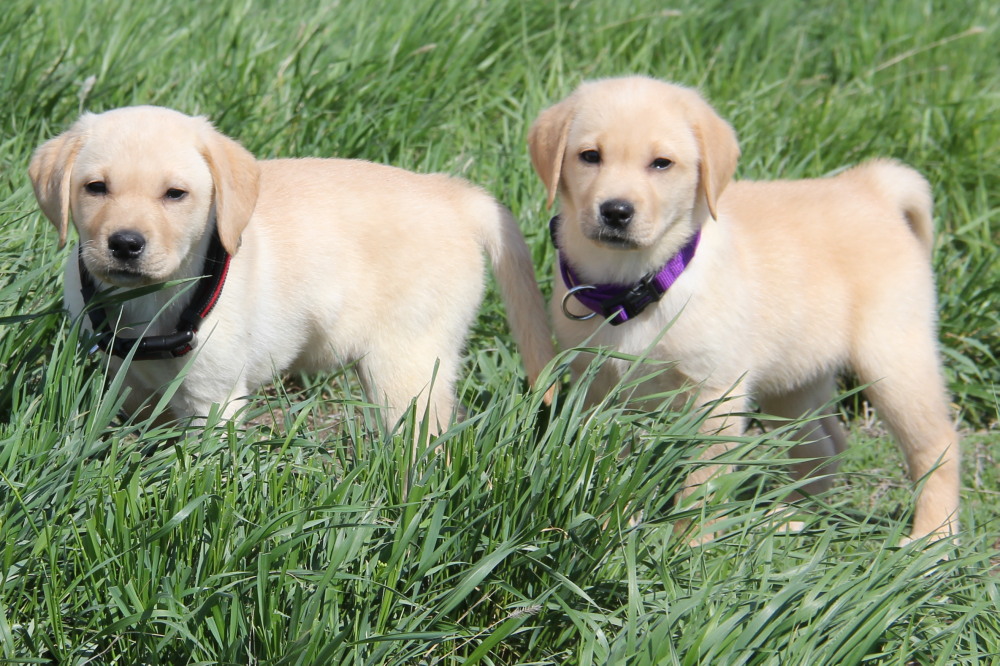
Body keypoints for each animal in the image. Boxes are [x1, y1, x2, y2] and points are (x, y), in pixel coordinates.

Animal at [29, 104, 556, 426]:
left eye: (175, 194)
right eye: (96, 188)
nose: (125, 244)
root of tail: (452, 194)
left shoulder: (213, 400)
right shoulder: (125, 386)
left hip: (407, 363)